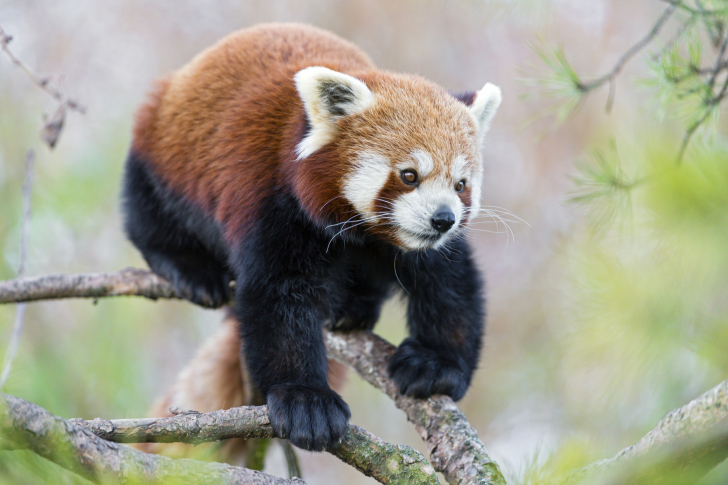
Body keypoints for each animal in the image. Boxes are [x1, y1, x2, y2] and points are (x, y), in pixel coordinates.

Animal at [123, 22, 500, 452]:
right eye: (409, 175)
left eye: (461, 185)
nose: (443, 219)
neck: (363, 231)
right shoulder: (276, 202)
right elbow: (280, 296)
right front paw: (306, 400)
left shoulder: (417, 245)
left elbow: (450, 283)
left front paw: (436, 364)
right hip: (162, 150)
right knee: (148, 212)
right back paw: (190, 269)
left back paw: (354, 307)